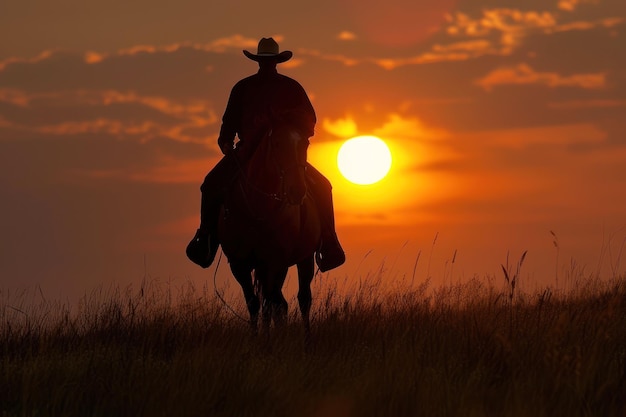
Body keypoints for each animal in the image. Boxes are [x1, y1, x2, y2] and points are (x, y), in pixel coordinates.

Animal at [216, 120, 322, 334]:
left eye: (305, 144)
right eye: (278, 144)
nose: (297, 190)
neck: (258, 207)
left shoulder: (274, 261)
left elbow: (267, 305)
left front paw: (267, 341)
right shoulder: (239, 264)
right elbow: (254, 303)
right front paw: (256, 339)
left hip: (304, 258)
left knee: (302, 299)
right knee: (279, 302)